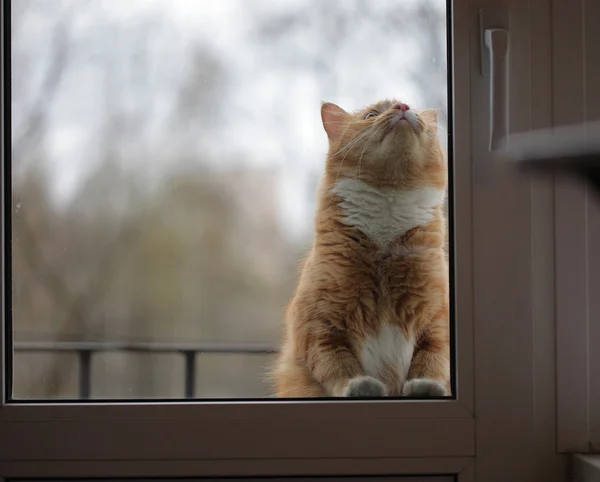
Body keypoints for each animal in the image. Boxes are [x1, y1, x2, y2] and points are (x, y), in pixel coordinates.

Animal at [274, 99, 450, 400]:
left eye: (413, 109)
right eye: (371, 115)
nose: (403, 106)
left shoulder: (438, 320)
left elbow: (432, 360)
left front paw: (426, 386)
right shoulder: (320, 326)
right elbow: (338, 366)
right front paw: (359, 386)